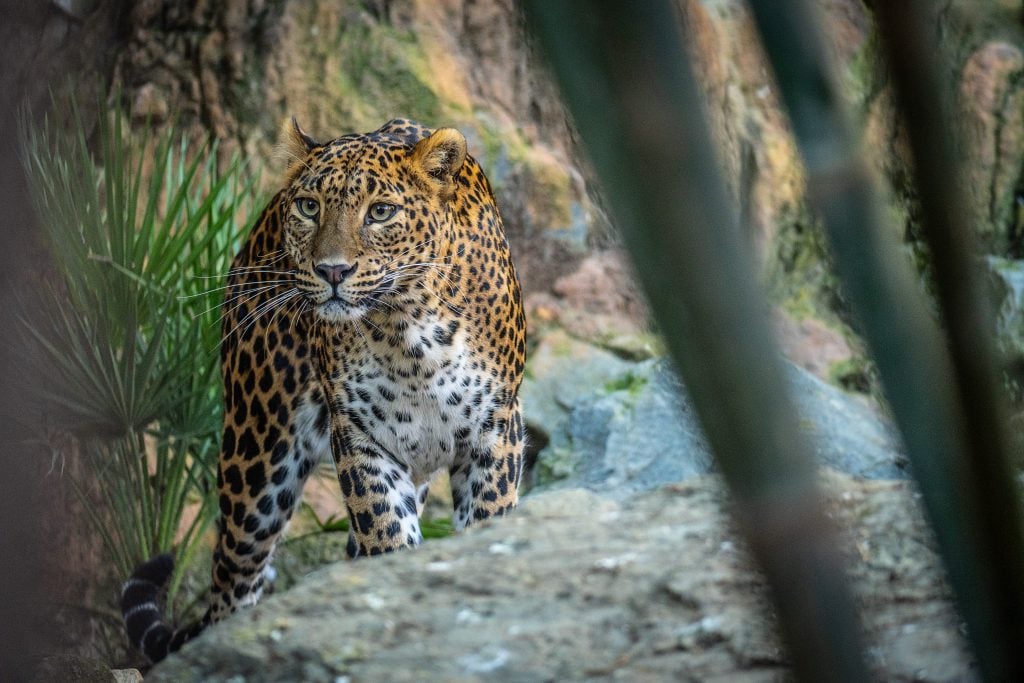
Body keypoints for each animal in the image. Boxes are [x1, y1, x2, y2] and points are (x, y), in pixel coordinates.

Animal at [120, 118, 526, 663]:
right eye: (310, 207)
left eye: (381, 212)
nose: (332, 271)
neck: (409, 334)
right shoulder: (361, 439)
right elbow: (387, 536)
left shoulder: (496, 430)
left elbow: (485, 523)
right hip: (258, 458)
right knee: (231, 584)